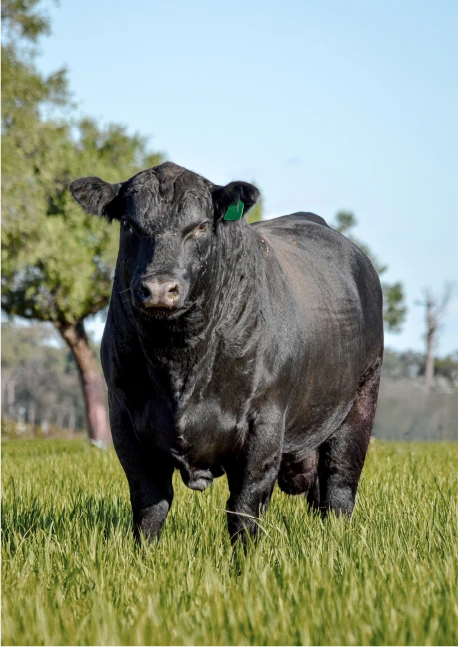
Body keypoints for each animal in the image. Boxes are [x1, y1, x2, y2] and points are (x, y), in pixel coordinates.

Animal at [70, 162, 383, 545]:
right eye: (129, 224)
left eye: (201, 225)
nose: (159, 289)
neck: (180, 359)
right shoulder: (124, 417)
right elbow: (149, 506)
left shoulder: (265, 423)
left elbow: (244, 509)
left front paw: (246, 559)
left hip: (360, 402)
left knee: (339, 489)